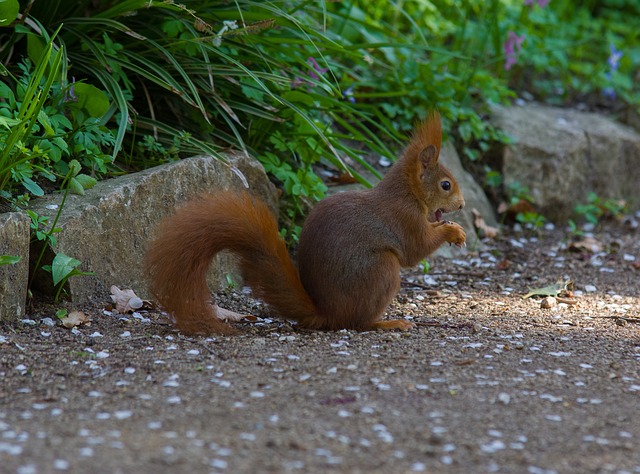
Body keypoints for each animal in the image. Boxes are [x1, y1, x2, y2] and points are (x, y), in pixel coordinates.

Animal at [145, 110, 464, 334]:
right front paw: (454, 232)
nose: (461, 205)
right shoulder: (404, 218)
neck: (408, 193)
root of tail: (327, 312)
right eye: (446, 185)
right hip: (381, 270)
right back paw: (386, 323)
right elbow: (415, 249)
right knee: (356, 323)